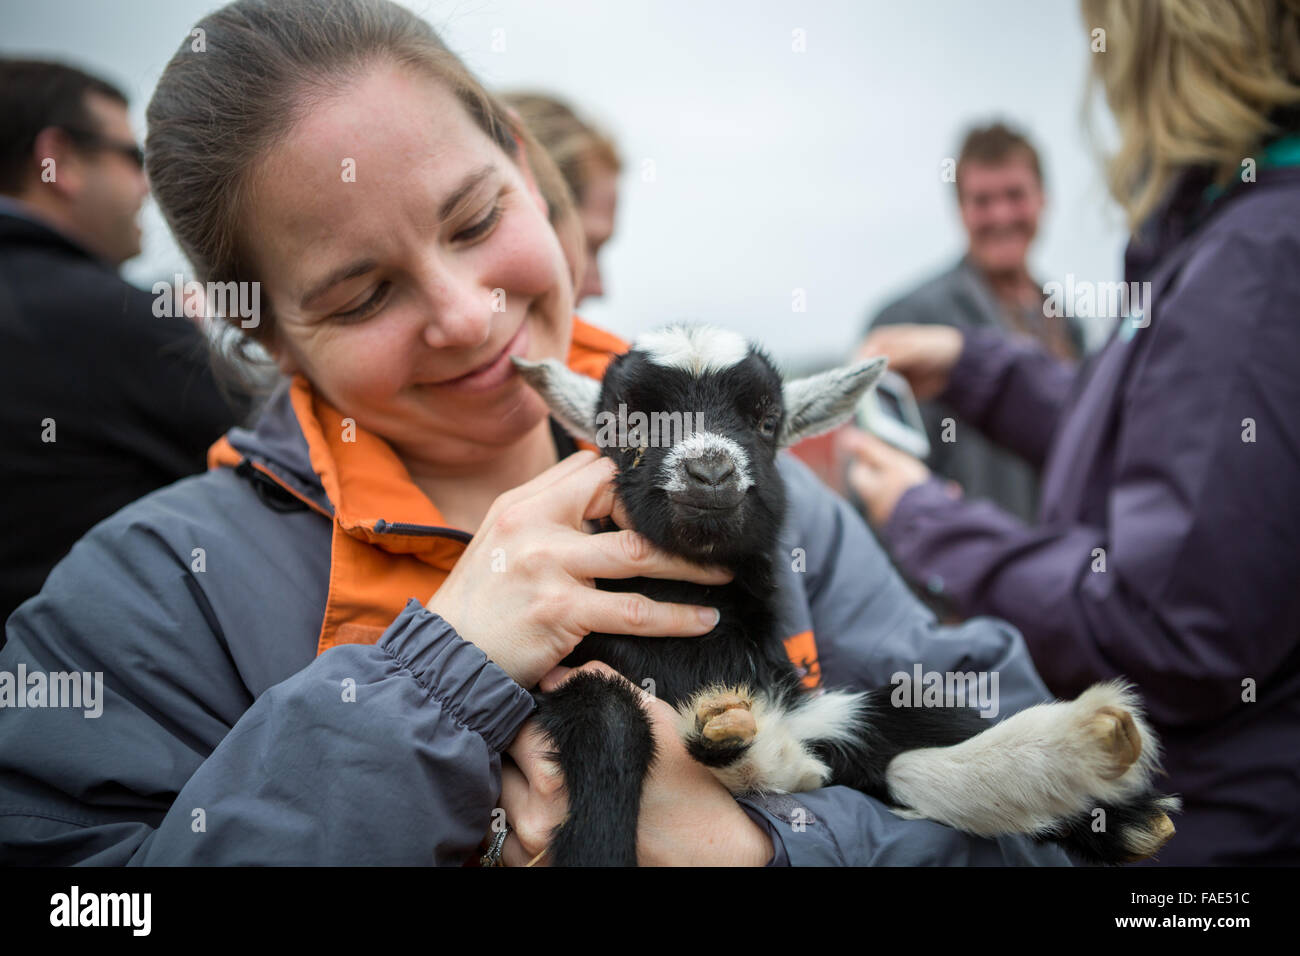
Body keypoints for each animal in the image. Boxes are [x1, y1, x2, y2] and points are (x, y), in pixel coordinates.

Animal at [512, 323, 1185, 868]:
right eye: (626, 423)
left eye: (766, 423)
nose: (710, 474)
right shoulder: (558, 682)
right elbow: (611, 720)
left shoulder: (798, 706)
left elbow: (912, 720)